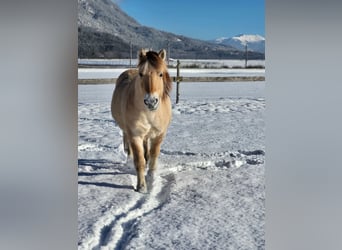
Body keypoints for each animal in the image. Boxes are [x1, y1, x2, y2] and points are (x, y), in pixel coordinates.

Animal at [111, 49, 172, 193]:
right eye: (141, 74)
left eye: (160, 74)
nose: (151, 101)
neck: (150, 113)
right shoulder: (135, 135)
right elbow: (139, 161)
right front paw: (142, 187)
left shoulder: (159, 135)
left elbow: (154, 155)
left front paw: (152, 175)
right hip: (126, 131)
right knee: (128, 148)